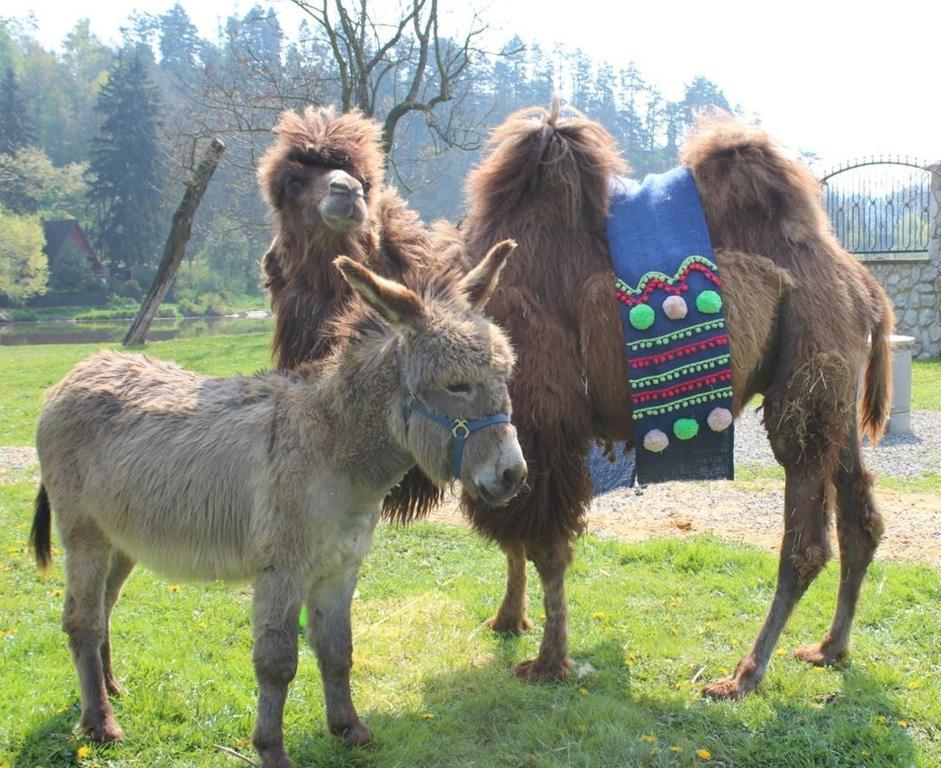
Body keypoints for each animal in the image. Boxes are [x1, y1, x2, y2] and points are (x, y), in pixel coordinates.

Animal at [29, 242, 524, 768]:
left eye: (506, 376)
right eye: (456, 385)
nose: (513, 475)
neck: (334, 444)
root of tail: (81, 368)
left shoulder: (340, 568)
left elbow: (338, 650)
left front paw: (348, 728)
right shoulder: (282, 570)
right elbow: (276, 664)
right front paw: (271, 749)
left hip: (123, 539)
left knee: (101, 608)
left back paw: (108, 691)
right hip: (84, 536)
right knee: (82, 620)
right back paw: (99, 723)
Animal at [444, 103, 892, 704]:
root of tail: (861, 280)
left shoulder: (540, 421)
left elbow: (544, 543)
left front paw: (549, 661)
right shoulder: (507, 436)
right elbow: (513, 532)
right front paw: (508, 621)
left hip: (808, 374)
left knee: (806, 542)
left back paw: (743, 675)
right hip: (835, 393)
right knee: (860, 518)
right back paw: (829, 648)